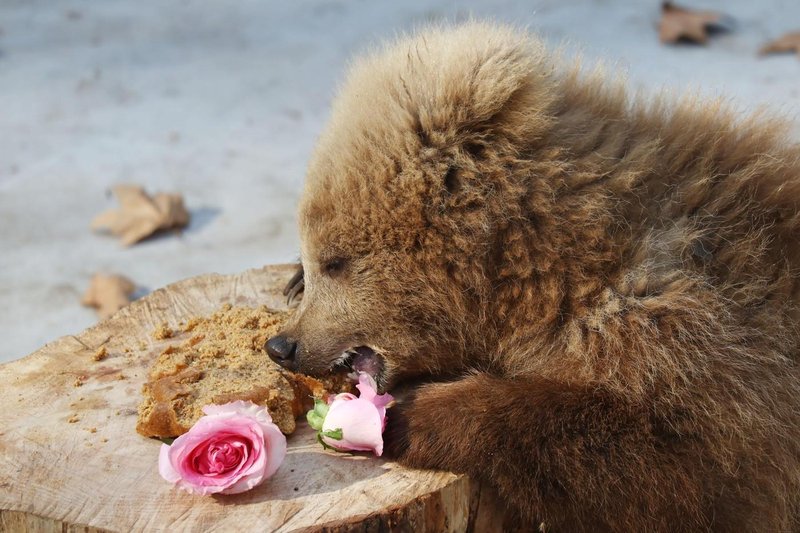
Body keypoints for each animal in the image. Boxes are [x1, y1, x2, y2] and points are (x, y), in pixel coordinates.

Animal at [266, 21, 800, 532]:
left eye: (336, 260)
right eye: (315, 255)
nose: (282, 345)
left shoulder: (704, 339)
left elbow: (676, 463)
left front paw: (415, 413)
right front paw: (291, 279)